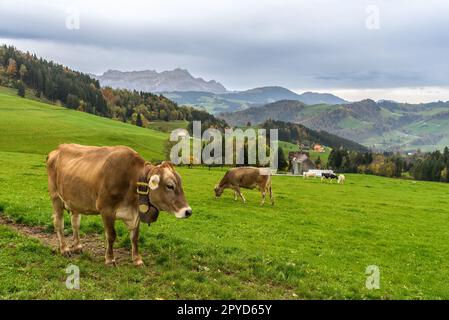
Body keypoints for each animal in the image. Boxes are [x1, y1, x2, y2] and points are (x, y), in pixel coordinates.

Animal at [46, 144, 191, 266]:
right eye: (169, 186)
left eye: (180, 184)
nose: (188, 211)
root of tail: (58, 148)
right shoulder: (106, 209)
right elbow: (111, 236)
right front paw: (110, 259)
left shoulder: (135, 213)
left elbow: (135, 237)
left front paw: (137, 259)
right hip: (56, 197)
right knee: (59, 223)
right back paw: (64, 249)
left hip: (74, 200)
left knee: (75, 222)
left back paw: (77, 246)